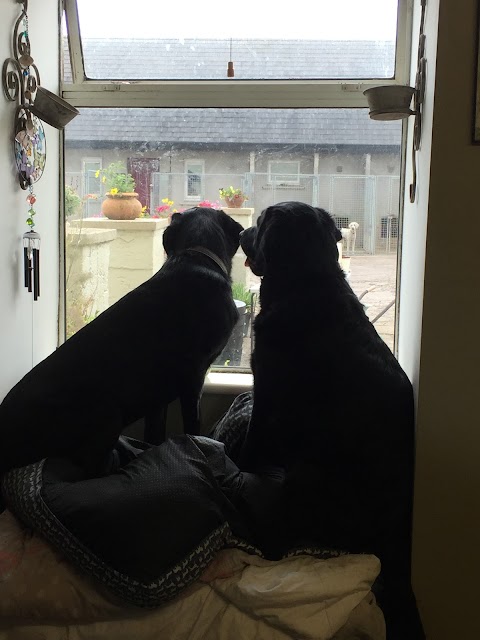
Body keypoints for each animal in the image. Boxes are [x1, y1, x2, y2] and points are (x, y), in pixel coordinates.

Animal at [0, 208, 242, 472]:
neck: (197, 255)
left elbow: (155, 432)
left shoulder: (156, 397)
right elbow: (192, 426)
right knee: (92, 465)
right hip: (106, 411)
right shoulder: (194, 378)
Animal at [238, 201, 422, 640]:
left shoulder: (266, 392)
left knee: (278, 545)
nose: (239, 233)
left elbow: (251, 446)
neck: (308, 282)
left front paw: (236, 465)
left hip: (305, 475)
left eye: (260, 222)